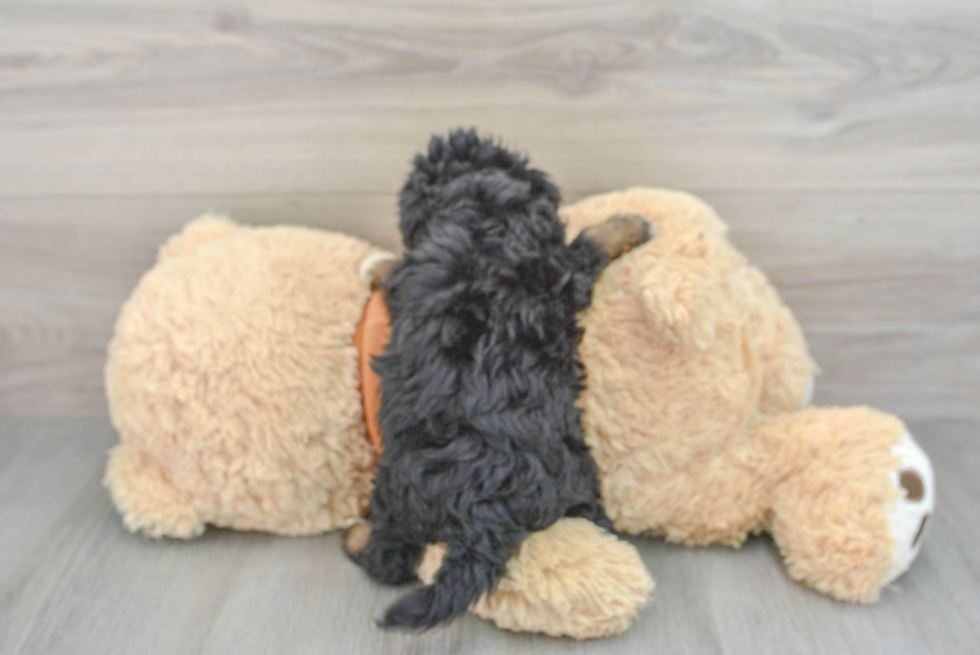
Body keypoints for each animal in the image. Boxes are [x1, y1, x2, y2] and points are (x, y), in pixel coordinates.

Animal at [344, 129, 652, 632]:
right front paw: (631, 223)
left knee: (393, 558)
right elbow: (589, 241)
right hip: (568, 473)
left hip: (398, 485)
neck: (481, 213)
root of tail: (481, 511)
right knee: (390, 559)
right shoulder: (565, 270)